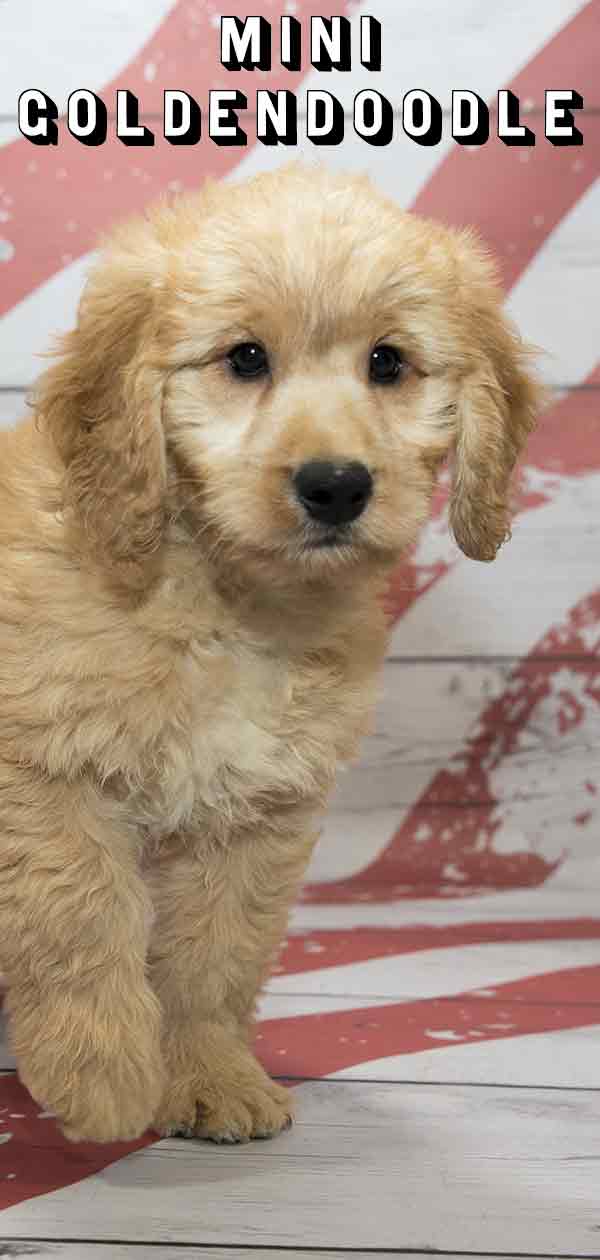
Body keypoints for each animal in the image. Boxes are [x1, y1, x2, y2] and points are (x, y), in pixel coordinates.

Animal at [0, 165, 539, 1144]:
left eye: (387, 363)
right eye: (245, 359)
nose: (336, 486)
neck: (225, 602)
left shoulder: (254, 812)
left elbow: (213, 956)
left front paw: (206, 1073)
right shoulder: (43, 771)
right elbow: (79, 914)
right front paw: (102, 1071)